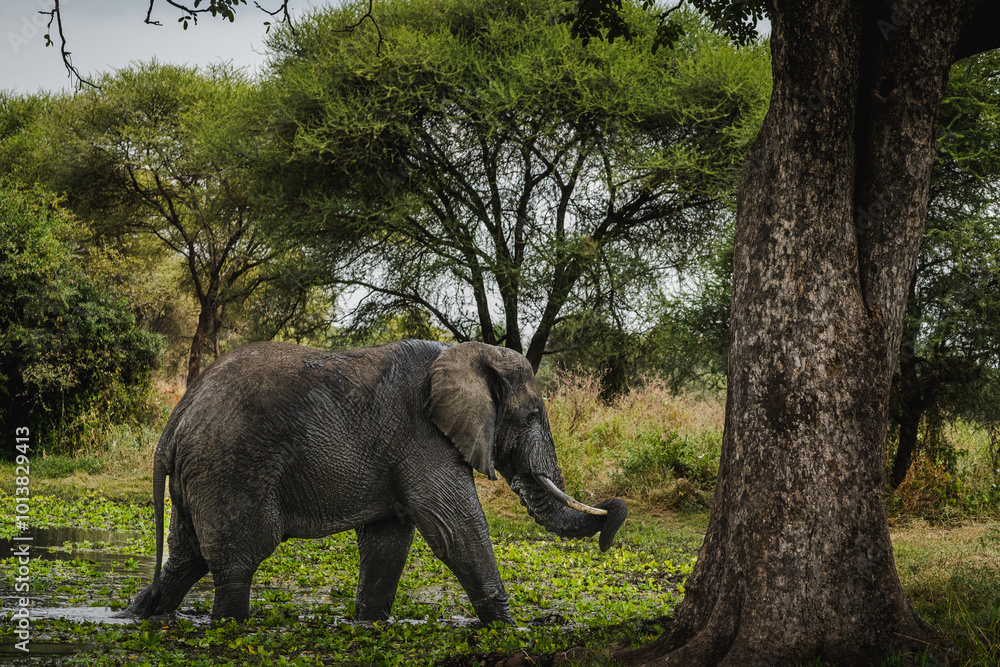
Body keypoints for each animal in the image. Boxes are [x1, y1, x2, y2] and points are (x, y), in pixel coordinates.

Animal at [122, 339, 627, 624]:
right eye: (532, 415)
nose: (612, 512)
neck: (466, 350)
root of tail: (174, 424)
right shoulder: (422, 435)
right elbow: (456, 530)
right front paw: (509, 629)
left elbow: (388, 543)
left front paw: (369, 625)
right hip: (230, 470)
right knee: (235, 564)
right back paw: (229, 627)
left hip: (200, 475)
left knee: (185, 559)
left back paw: (137, 616)